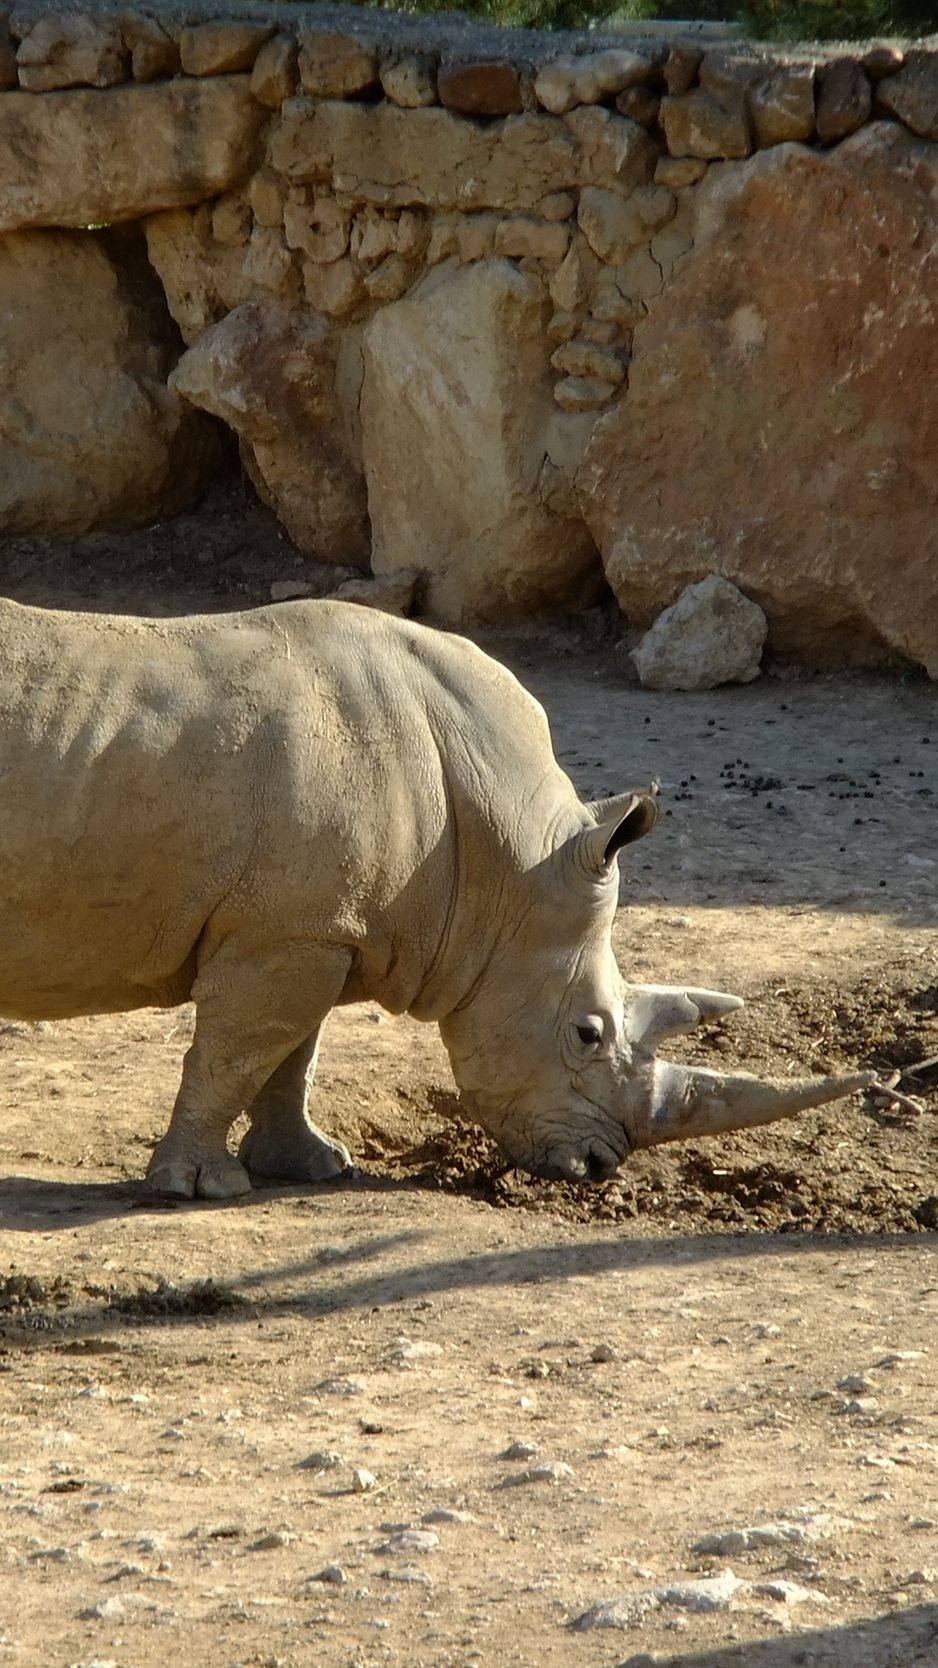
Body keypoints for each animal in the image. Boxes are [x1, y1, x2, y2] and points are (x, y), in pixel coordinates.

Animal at [0, 596, 872, 1198]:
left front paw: (315, 1167)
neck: (505, 860)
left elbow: (292, 1052)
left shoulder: (317, 924)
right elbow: (238, 1054)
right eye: (587, 1034)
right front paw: (198, 1190)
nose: (596, 1167)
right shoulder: (284, 934)